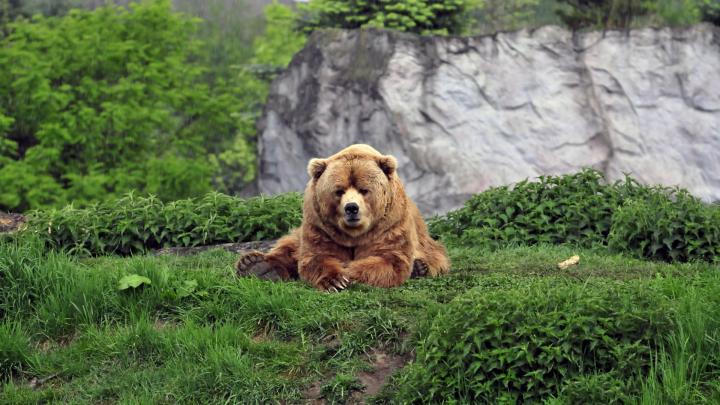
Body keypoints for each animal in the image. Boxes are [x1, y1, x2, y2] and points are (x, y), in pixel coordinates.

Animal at [235, 144, 450, 291]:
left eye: (364, 189)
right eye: (339, 190)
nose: (351, 208)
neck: (354, 234)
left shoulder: (390, 226)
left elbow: (388, 259)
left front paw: (349, 272)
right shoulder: (320, 227)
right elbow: (316, 257)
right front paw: (334, 280)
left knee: (435, 256)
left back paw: (420, 268)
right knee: (289, 246)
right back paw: (256, 265)